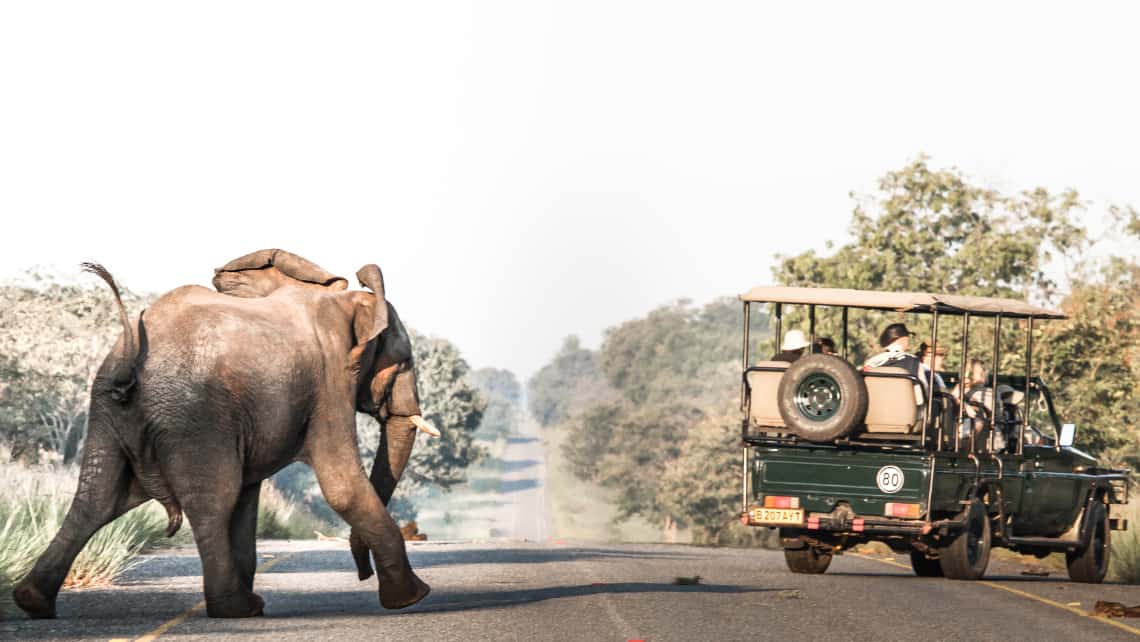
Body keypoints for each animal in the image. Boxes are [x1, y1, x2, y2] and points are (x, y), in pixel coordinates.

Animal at [15, 250, 433, 615]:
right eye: (405, 361)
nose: (362, 573)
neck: (348, 301)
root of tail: (132, 350)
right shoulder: (329, 383)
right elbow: (340, 485)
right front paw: (413, 599)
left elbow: (249, 497)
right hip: (193, 413)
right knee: (212, 501)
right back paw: (235, 609)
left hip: (109, 411)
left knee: (97, 499)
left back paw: (32, 602)